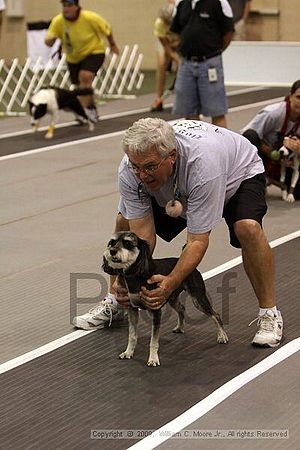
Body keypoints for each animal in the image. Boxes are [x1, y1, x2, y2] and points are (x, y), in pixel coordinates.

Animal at [102, 232, 229, 366]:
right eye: (112, 242)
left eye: (128, 243)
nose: (112, 251)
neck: (135, 275)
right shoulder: (132, 309)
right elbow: (132, 336)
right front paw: (128, 352)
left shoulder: (156, 310)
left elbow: (153, 340)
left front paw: (153, 359)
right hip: (171, 298)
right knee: (182, 309)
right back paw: (180, 327)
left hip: (198, 299)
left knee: (215, 314)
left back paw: (222, 336)